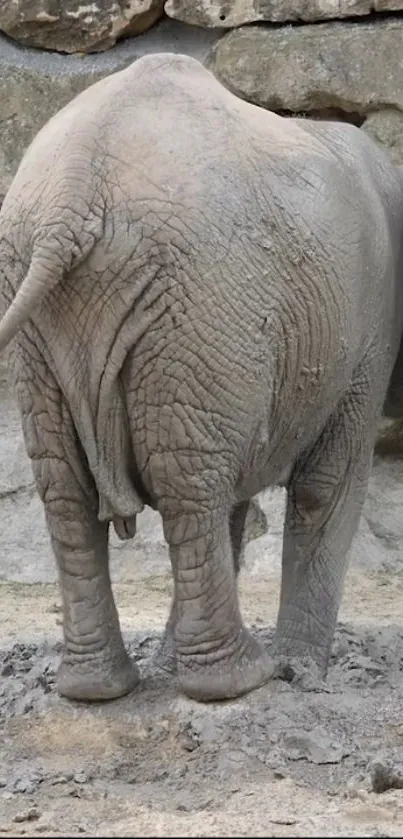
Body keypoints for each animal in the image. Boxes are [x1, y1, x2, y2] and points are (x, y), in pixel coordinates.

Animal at [0, 54, 403, 704]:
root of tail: (74, 195)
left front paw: (173, 666)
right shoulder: (369, 329)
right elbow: (326, 484)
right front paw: (300, 675)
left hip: (55, 319)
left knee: (72, 491)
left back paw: (98, 689)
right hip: (201, 301)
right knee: (190, 486)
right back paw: (238, 681)